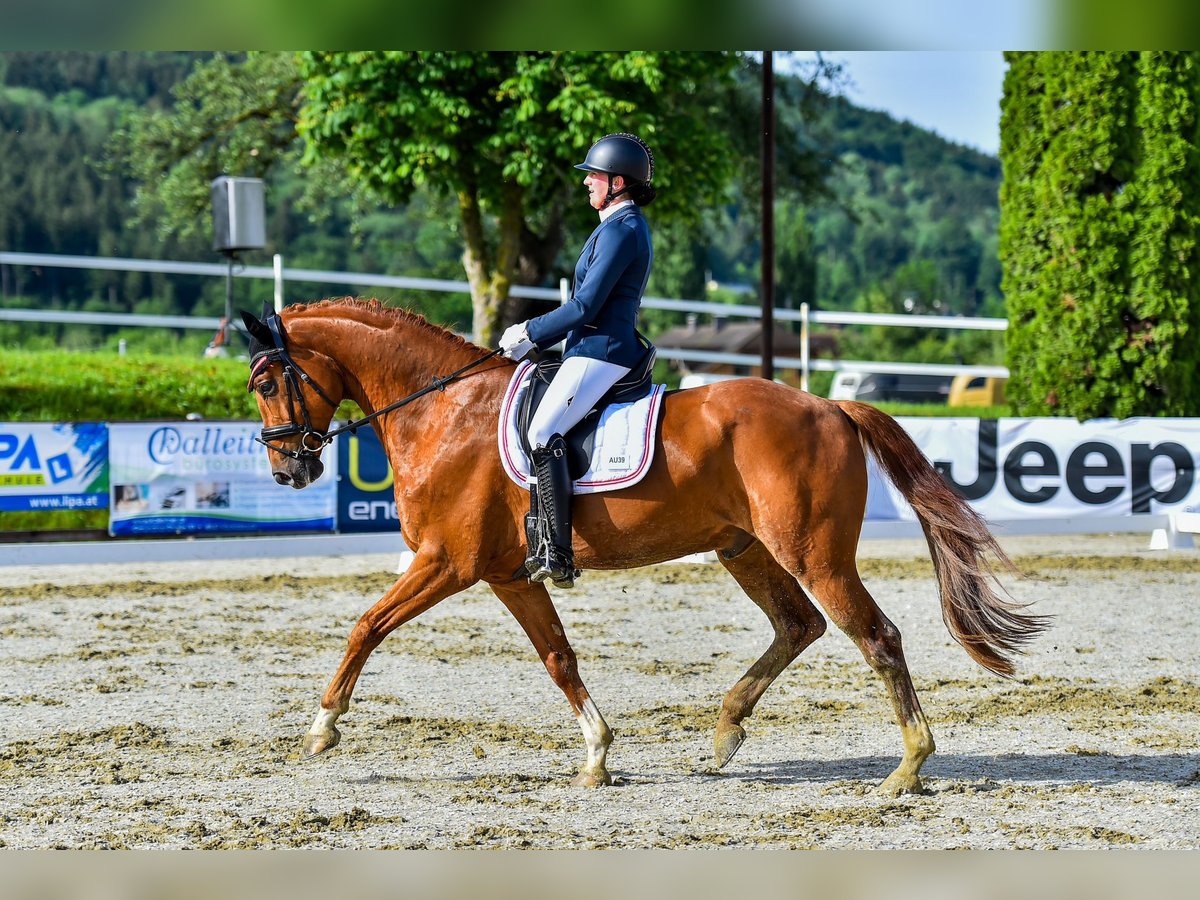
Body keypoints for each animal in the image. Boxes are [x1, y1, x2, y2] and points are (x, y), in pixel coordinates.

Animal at [243, 297, 1051, 796]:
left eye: (266, 381)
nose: (288, 471)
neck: (443, 408)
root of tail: (828, 404)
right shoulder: (508, 574)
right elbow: (558, 657)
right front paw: (598, 755)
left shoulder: (448, 562)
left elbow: (365, 626)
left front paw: (322, 729)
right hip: (744, 549)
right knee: (799, 625)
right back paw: (726, 730)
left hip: (812, 552)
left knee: (875, 635)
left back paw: (907, 768)